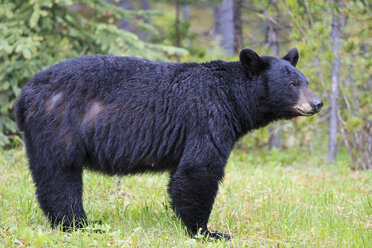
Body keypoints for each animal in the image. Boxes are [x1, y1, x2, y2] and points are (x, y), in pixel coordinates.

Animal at [14, 47, 322, 239]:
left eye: (305, 80)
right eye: (292, 84)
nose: (317, 103)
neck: (231, 97)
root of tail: (24, 92)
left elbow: (181, 178)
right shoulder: (207, 118)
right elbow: (200, 169)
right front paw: (207, 231)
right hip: (60, 123)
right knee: (59, 175)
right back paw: (79, 224)